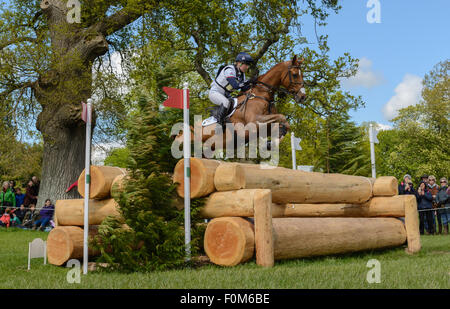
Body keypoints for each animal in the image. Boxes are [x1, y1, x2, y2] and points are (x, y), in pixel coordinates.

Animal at [175, 54, 306, 153]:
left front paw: (270, 144)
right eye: (295, 74)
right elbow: (282, 117)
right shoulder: (254, 122)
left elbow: (285, 125)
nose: (303, 96)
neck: (261, 95)